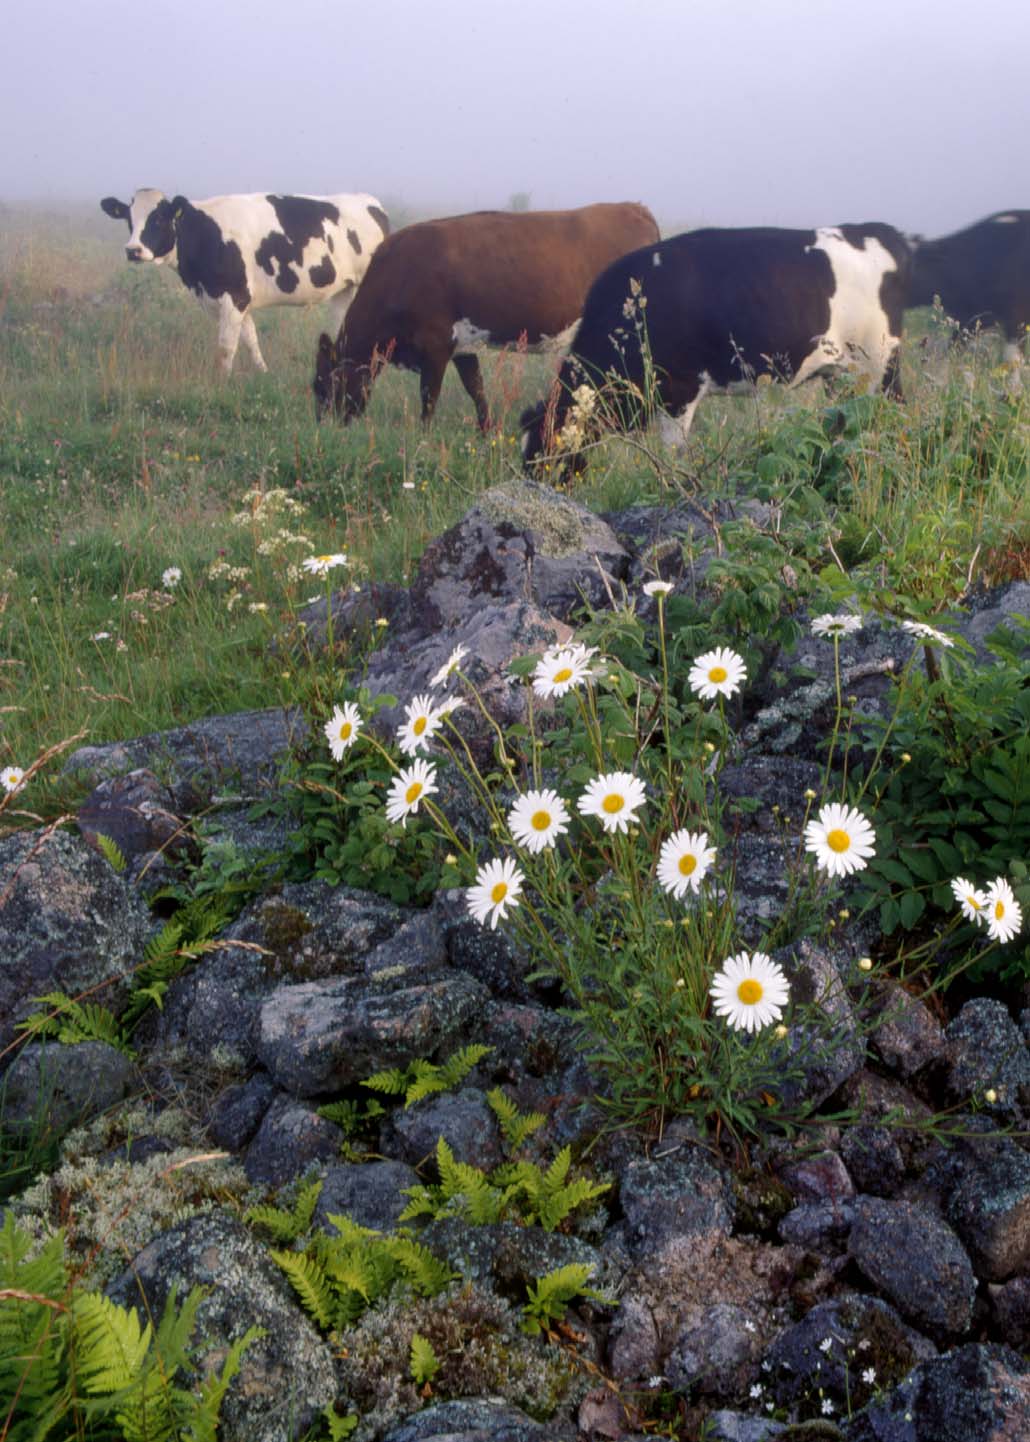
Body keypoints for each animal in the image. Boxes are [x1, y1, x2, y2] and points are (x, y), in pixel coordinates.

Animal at [100, 190, 389, 372]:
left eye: (159, 219)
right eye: (129, 219)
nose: (133, 250)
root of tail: (370, 202)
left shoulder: (234, 296)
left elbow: (226, 348)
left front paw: (221, 383)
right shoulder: (232, 300)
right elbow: (250, 339)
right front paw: (263, 371)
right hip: (345, 290)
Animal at [308, 203, 657, 426]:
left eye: (321, 385)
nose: (323, 430)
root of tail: (633, 207)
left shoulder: (435, 344)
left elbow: (429, 397)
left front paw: (422, 438)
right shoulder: (464, 346)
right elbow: (476, 390)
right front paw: (487, 431)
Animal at [522, 220, 905, 472]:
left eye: (540, 452)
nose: (533, 483)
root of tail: (872, 231)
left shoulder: (679, 389)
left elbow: (673, 454)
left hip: (877, 366)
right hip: (841, 377)